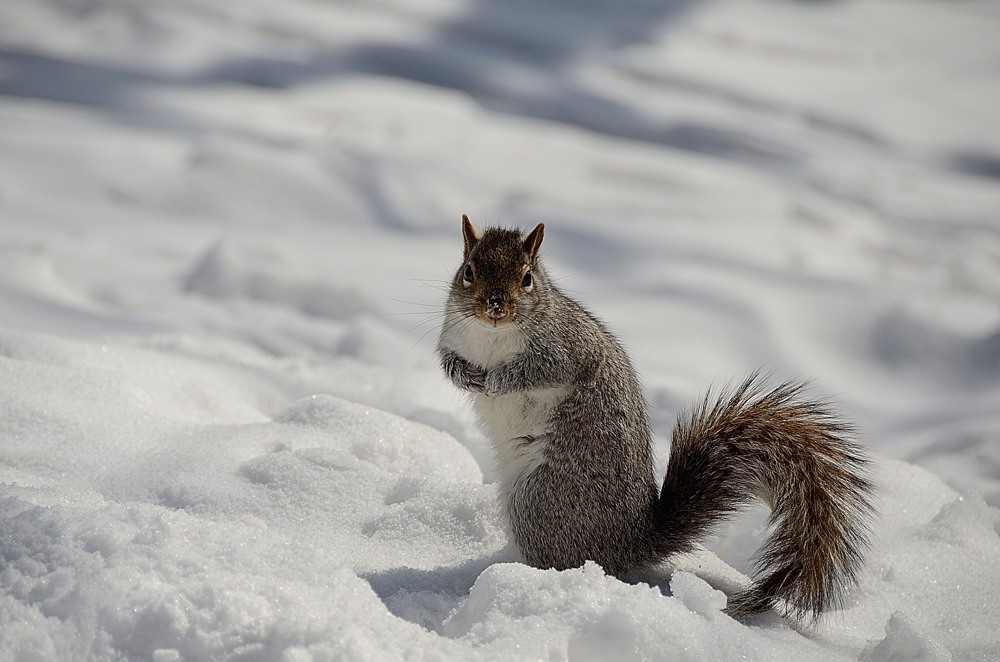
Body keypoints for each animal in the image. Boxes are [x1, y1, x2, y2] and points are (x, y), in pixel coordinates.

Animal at [438, 217, 876, 624]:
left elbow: (537, 372)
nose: (495, 308)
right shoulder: (451, 335)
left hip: (539, 500)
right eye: (468, 271)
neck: (491, 339)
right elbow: (446, 361)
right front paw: (463, 375)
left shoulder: (567, 349)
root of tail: (631, 541)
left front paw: (497, 380)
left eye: (527, 278)